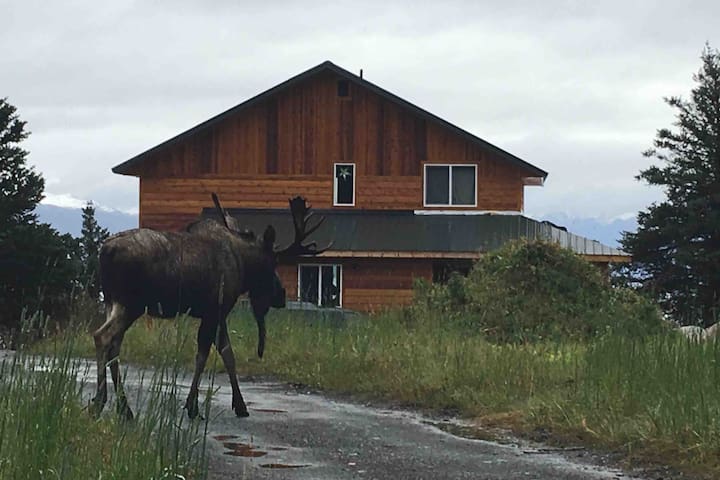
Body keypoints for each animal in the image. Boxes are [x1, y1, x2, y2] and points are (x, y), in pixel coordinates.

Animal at [92, 195, 326, 420]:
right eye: (273, 261)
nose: (281, 295)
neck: (242, 262)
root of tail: (104, 251)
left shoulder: (218, 315)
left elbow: (227, 354)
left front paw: (239, 405)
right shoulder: (215, 310)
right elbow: (204, 355)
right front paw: (193, 406)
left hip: (112, 302)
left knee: (114, 346)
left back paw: (124, 408)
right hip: (131, 304)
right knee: (102, 336)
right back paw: (101, 402)